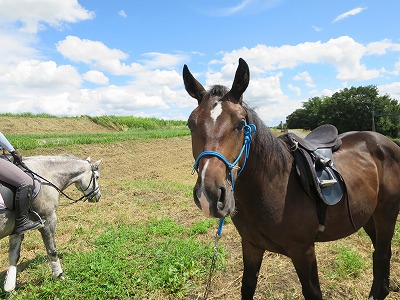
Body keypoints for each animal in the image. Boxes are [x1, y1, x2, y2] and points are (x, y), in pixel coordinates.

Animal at [0, 155, 101, 292]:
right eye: (97, 177)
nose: (98, 196)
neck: (45, 175)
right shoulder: (48, 220)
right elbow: (51, 250)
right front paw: (59, 275)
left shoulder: (17, 229)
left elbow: (13, 257)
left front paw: (9, 289)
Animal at [182, 57, 400, 298]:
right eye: (191, 124)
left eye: (240, 124)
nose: (209, 195)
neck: (271, 186)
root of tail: (387, 142)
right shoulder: (251, 245)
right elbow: (247, 286)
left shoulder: (303, 251)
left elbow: (313, 292)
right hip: (369, 217)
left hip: (386, 215)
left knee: (381, 255)